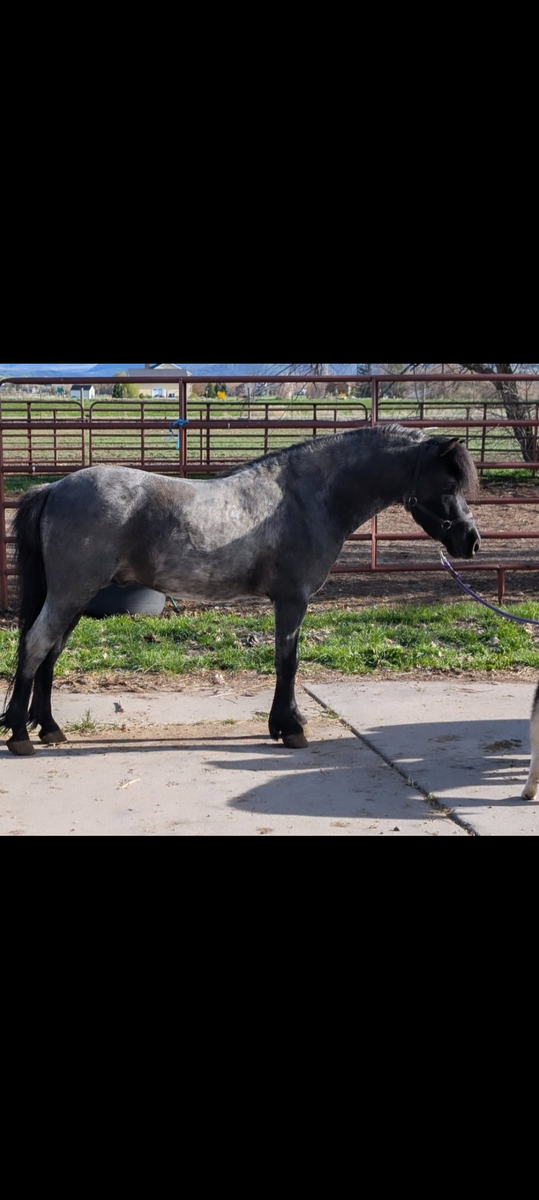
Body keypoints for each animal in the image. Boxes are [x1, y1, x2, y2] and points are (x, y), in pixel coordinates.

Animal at [0, 425, 481, 757]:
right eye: (447, 485)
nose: (471, 542)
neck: (307, 497)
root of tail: (54, 486)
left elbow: (285, 661)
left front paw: (285, 722)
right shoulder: (292, 600)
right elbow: (288, 661)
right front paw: (290, 728)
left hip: (74, 598)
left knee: (50, 653)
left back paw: (50, 729)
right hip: (70, 594)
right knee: (36, 645)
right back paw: (21, 736)